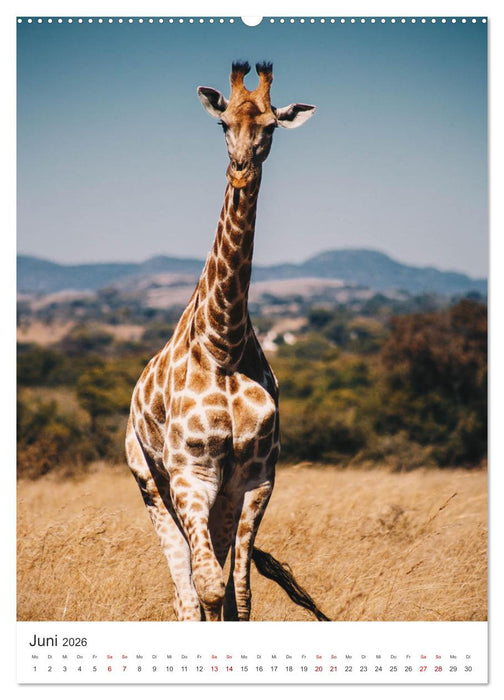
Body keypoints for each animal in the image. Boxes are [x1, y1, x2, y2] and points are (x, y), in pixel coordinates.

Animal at [125, 61, 318, 621]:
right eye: (222, 123)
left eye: (270, 127)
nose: (241, 167)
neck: (224, 345)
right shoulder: (191, 473)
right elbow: (208, 588)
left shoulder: (254, 478)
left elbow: (241, 596)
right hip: (150, 482)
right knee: (186, 590)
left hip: (216, 499)